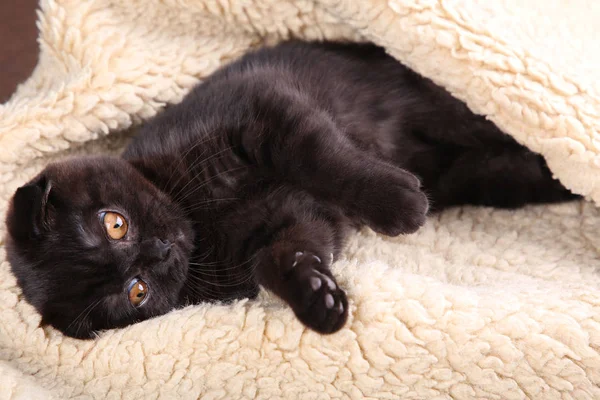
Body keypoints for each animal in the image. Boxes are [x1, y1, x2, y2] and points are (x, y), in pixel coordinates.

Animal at [5, 42, 576, 340]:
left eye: (114, 223)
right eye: (136, 292)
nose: (160, 251)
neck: (201, 218)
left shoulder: (262, 111)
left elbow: (323, 158)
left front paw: (397, 204)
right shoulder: (286, 226)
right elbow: (283, 258)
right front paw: (318, 298)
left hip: (451, 109)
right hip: (482, 176)